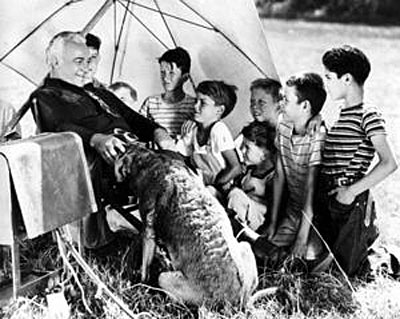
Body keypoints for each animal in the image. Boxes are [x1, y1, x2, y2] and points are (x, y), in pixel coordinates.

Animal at [115, 143, 260, 308]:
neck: (151, 160)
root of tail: (239, 299)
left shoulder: (148, 227)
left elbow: (145, 264)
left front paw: (140, 285)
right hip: (245, 246)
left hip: (166, 279)